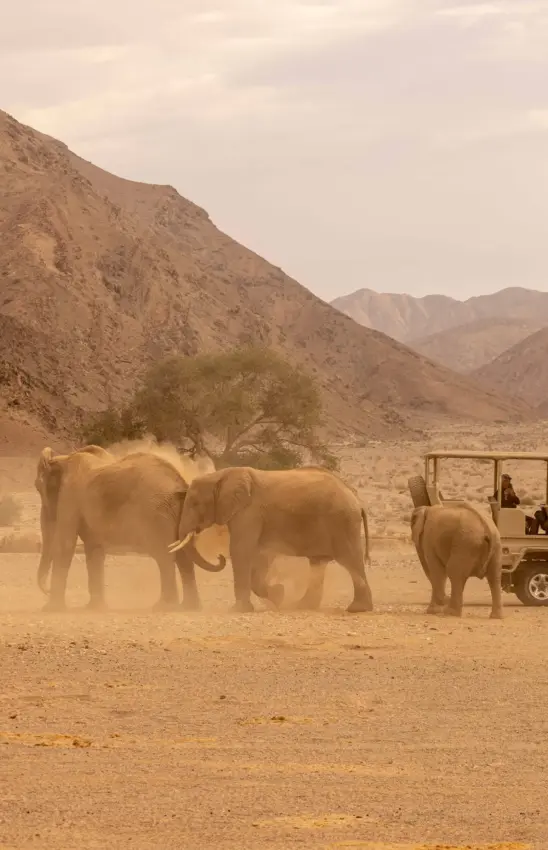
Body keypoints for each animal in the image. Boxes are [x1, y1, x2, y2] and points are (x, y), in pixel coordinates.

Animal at [35, 445, 227, 612]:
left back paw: (163, 607)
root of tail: (181, 482)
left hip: (156, 515)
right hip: (177, 513)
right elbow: (94, 550)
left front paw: (50, 610)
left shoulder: (70, 497)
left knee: (164, 555)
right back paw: (189, 607)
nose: (46, 590)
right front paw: (94, 609)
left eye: (38, 487)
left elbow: (65, 545)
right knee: (182, 555)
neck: (63, 459)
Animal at [169, 465, 373, 614]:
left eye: (195, 504)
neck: (221, 475)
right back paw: (303, 607)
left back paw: (357, 609)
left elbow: (240, 550)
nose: (219, 557)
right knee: (318, 563)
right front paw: (279, 595)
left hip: (342, 522)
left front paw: (238, 610)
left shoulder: (249, 512)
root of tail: (357, 500)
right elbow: (260, 556)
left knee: (350, 560)